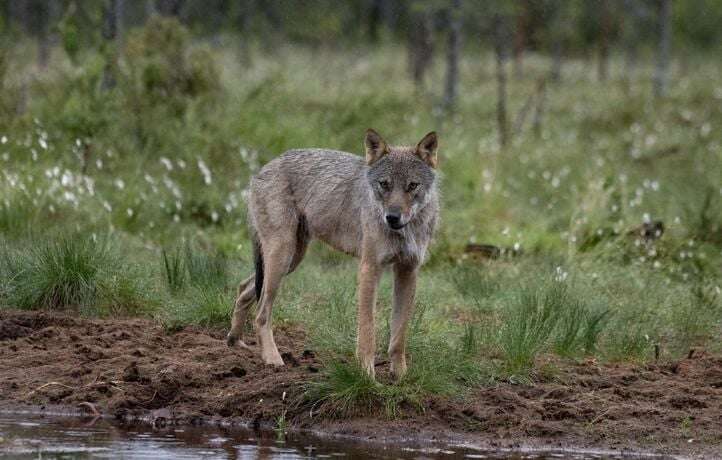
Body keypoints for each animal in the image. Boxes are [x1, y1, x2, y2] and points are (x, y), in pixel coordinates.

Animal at [225, 128, 438, 378]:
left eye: (412, 186)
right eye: (384, 184)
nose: (392, 217)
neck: (406, 231)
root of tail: (263, 168)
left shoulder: (408, 270)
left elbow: (399, 336)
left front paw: (401, 377)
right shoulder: (369, 268)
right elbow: (367, 331)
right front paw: (367, 375)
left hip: (290, 260)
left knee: (244, 288)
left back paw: (235, 341)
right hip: (281, 257)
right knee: (261, 313)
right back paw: (272, 359)